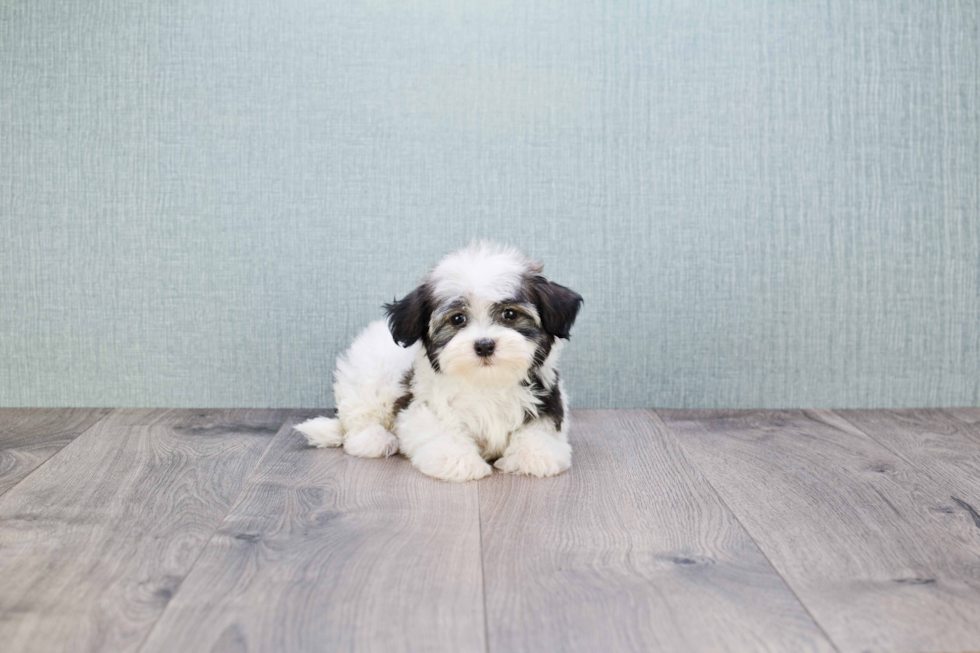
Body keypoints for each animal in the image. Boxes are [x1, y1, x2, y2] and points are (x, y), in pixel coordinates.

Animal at [294, 242, 580, 482]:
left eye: (509, 314)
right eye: (457, 319)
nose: (484, 345)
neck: (485, 383)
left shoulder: (546, 399)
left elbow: (539, 430)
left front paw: (533, 454)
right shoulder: (423, 407)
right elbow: (440, 430)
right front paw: (457, 460)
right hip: (365, 377)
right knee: (358, 417)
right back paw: (375, 439)